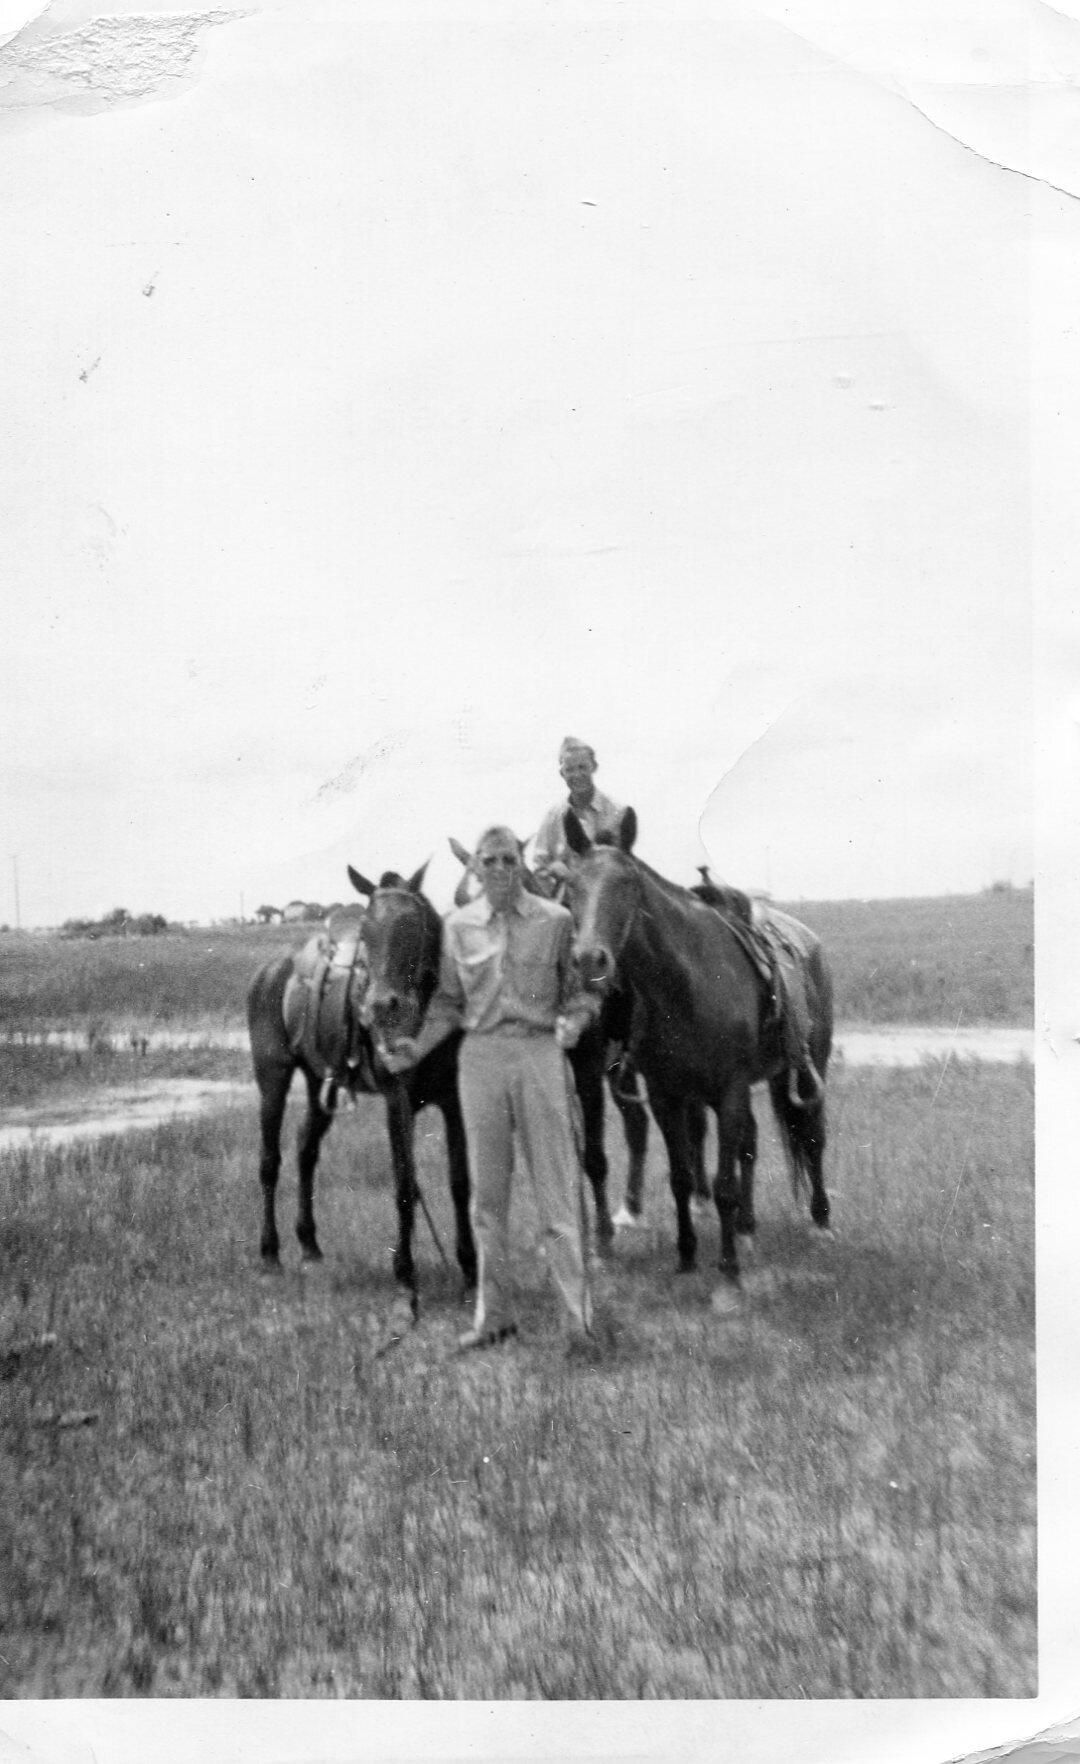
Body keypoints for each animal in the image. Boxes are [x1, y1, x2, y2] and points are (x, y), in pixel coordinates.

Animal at [246, 862, 477, 1317]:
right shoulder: (397, 1102)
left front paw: (471, 1273)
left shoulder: (453, 1099)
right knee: (270, 1160)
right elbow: (404, 1186)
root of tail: (270, 971)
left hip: (320, 1080)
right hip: (273, 1077)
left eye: (414, 926)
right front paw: (405, 1280)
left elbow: (460, 1183)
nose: (381, 1006)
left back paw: (310, 1247)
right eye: (367, 930)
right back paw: (270, 1256)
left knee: (306, 1149)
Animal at [563, 808, 833, 1288]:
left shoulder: (729, 1090)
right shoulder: (666, 1095)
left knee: (813, 1138)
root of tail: (809, 941)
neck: (685, 982)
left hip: (808, 1068)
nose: (590, 960)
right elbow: (681, 1177)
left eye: (627, 883)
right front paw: (687, 1256)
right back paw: (746, 1228)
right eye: (572, 884)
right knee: (752, 1143)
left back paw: (820, 1222)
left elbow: (722, 1183)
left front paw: (727, 1267)